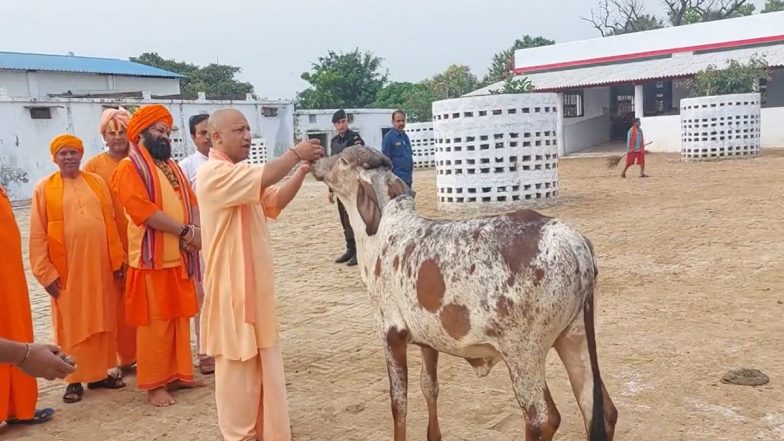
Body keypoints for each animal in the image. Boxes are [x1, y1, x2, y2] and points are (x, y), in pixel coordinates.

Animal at [312, 147, 620, 440]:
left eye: (343, 160)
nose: (317, 162)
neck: (379, 232)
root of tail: (571, 240)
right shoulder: (427, 340)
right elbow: (429, 387)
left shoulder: (391, 334)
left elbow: (398, 404)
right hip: (573, 338)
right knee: (601, 410)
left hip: (524, 354)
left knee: (543, 420)